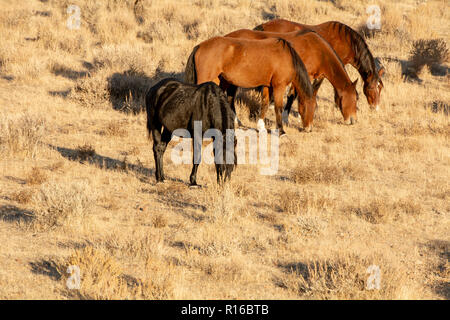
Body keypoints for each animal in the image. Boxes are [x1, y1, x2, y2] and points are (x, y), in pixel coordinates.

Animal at [185, 36, 318, 134]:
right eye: (305, 107)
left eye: (315, 107)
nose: (309, 129)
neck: (286, 57)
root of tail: (200, 46)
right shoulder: (279, 86)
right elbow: (278, 107)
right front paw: (281, 131)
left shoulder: (267, 86)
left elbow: (264, 104)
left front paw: (261, 127)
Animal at [225, 28, 358, 128]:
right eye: (355, 98)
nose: (353, 120)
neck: (318, 50)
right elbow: (292, 96)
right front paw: (288, 118)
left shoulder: (317, 77)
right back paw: (236, 121)